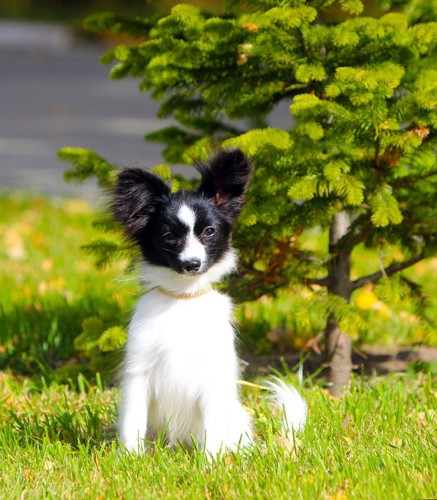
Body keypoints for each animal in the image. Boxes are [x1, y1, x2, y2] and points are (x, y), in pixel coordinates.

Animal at [110, 148, 304, 458]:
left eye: (209, 231)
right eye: (168, 236)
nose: (192, 263)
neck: (183, 299)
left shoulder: (213, 374)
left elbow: (213, 426)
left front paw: (211, 462)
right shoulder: (139, 371)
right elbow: (132, 421)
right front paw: (130, 458)